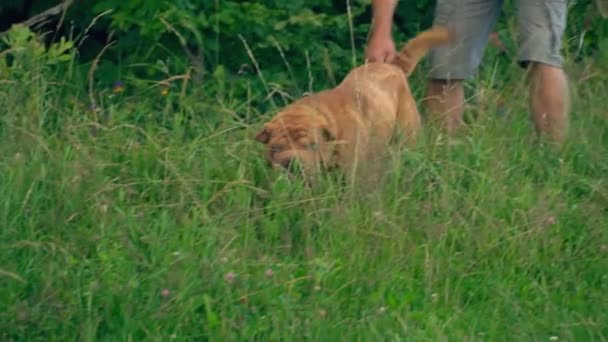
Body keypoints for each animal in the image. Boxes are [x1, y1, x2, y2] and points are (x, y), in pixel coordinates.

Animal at [255, 26, 452, 179]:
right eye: (275, 148)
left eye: (312, 145)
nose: (293, 163)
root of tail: (393, 66)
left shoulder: (350, 174)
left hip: (407, 136)